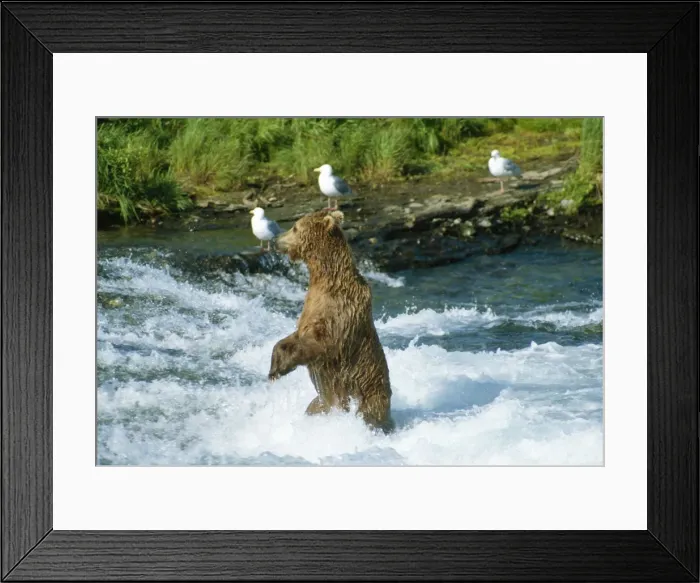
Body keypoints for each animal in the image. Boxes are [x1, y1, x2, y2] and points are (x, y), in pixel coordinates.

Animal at [268, 209, 395, 433]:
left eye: (295, 228)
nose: (275, 240)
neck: (327, 281)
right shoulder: (311, 307)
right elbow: (292, 336)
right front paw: (274, 367)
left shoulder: (340, 314)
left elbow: (323, 343)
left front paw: (285, 365)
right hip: (320, 404)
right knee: (314, 407)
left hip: (368, 397)